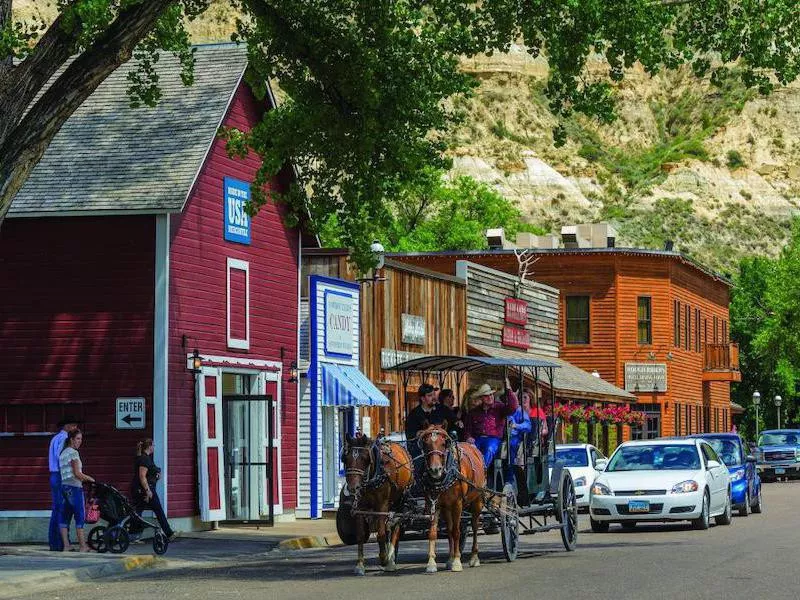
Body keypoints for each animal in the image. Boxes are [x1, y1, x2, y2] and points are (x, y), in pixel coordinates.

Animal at [340, 434, 412, 576]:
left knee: (396, 527)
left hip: (400, 500)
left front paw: (384, 558)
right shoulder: (360, 508)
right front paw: (360, 565)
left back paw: (390, 560)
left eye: (364, 459)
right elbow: (360, 536)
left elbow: (381, 534)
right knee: (390, 526)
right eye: (346, 458)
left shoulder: (382, 506)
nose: (353, 487)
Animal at [418, 422, 488, 572]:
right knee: (449, 529)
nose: (435, 469)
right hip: (446, 508)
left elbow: (457, 532)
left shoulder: (457, 504)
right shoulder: (434, 504)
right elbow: (434, 532)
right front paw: (432, 563)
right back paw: (450, 558)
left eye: (444, 443)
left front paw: (456, 561)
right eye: (425, 444)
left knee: (474, 526)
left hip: (477, 501)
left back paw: (474, 557)